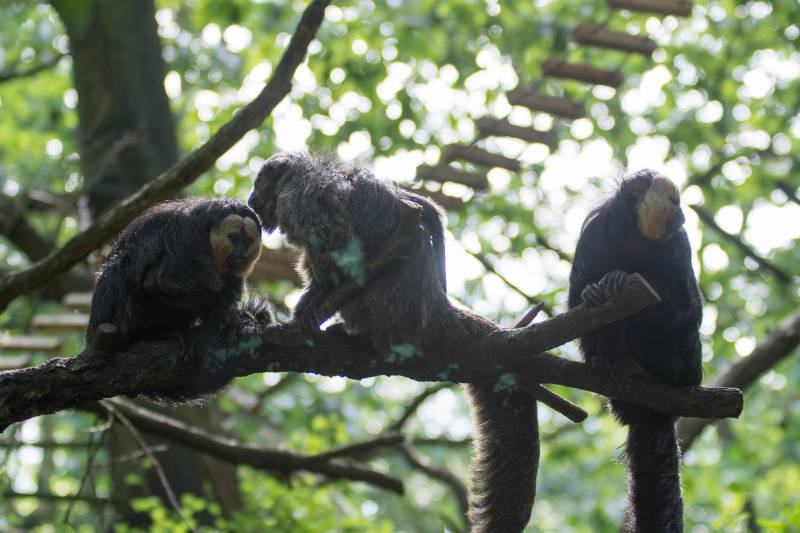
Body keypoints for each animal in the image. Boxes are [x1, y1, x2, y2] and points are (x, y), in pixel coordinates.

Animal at [86, 198, 269, 401]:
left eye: (247, 241)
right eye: (234, 238)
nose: (241, 253)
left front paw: (236, 316)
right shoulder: (185, 240)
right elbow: (162, 280)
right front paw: (223, 313)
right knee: (125, 271)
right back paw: (158, 334)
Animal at [249, 153, 539, 532]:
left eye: (259, 187)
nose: (250, 199)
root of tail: (435, 307)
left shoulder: (301, 199)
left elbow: (336, 236)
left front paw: (316, 299)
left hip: (391, 308)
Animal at [567, 169, 703, 533]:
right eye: (674, 202)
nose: (683, 216)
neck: (635, 235)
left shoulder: (679, 244)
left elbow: (688, 309)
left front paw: (620, 276)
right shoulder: (594, 233)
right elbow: (577, 301)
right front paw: (595, 290)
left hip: (688, 367)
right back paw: (611, 362)